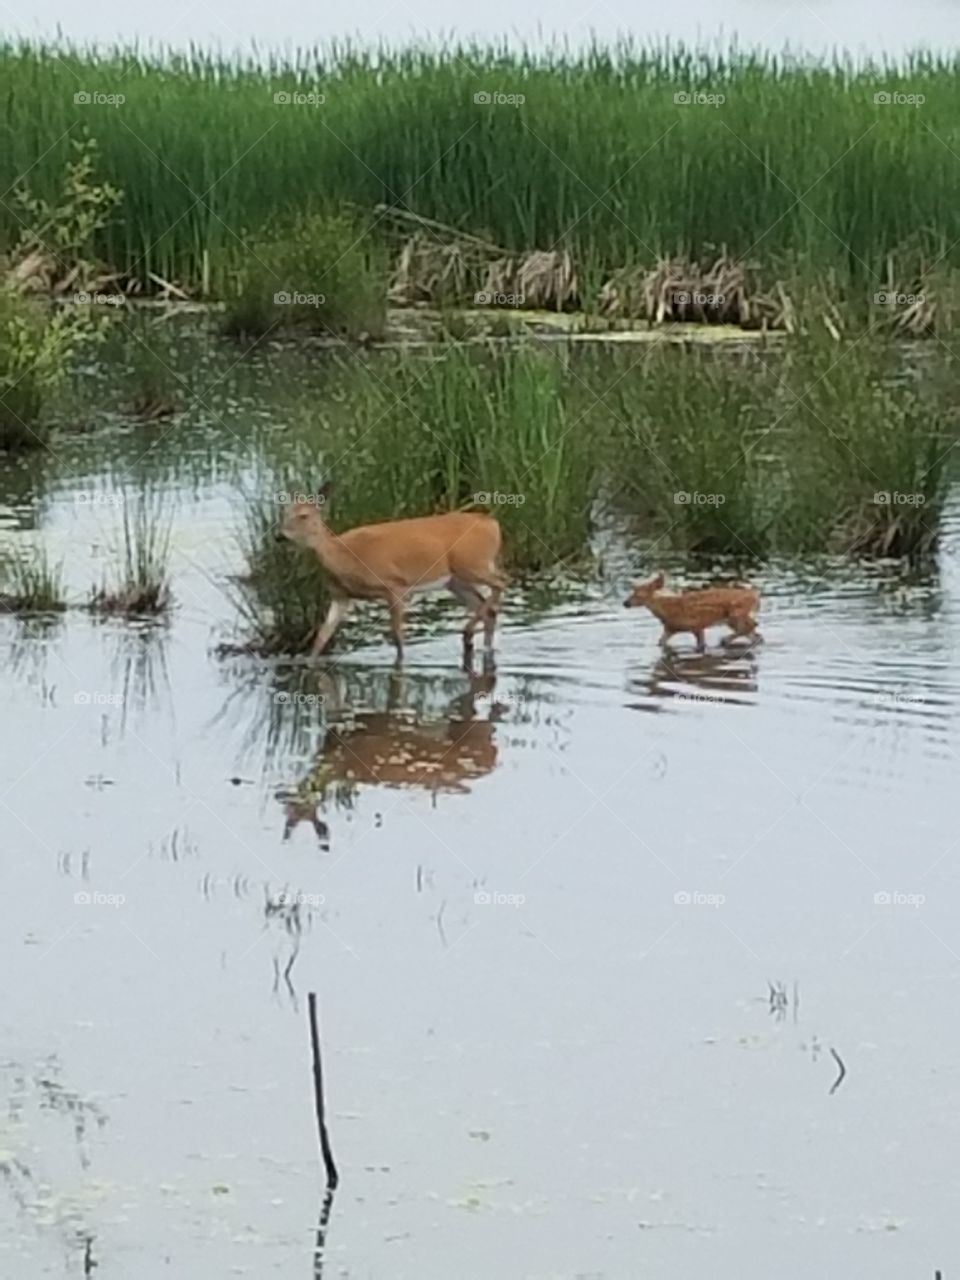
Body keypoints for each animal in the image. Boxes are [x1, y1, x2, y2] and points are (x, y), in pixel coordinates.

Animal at [277, 484, 507, 662]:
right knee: (488, 608)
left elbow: (397, 636)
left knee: (501, 582)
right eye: (285, 513)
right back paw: (479, 645)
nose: (280, 536)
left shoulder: (395, 585)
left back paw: (467, 633)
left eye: (304, 516)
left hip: (472, 564)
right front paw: (308, 663)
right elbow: (321, 637)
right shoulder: (340, 596)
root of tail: (492, 523)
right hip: (455, 580)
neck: (345, 557)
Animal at [624, 572, 761, 653]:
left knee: (752, 626)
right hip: (733, 619)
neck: (667, 610)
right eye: (632, 591)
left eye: (639, 595)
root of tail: (755, 595)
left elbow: (701, 646)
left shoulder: (696, 624)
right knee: (755, 634)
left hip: (736, 613)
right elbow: (660, 642)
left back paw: (724, 640)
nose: (625, 603)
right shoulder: (670, 628)